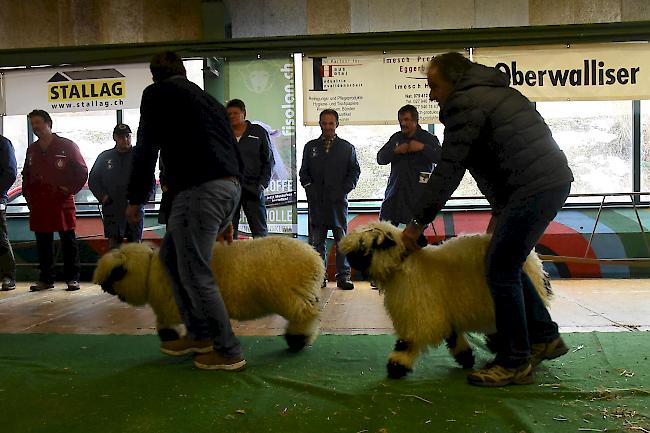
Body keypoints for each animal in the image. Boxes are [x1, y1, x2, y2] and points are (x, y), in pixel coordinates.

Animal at [92, 236, 322, 352]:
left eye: (116, 273)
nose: (104, 289)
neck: (149, 271)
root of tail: (315, 257)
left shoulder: (174, 304)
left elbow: (169, 324)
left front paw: (173, 339)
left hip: (289, 295)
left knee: (306, 315)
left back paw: (297, 339)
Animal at [340, 221, 552, 376]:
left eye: (364, 246)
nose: (348, 259)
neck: (404, 266)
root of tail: (534, 260)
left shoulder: (419, 313)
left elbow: (407, 341)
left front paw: (396, 367)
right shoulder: (443, 310)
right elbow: (453, 335)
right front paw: (466, 358)